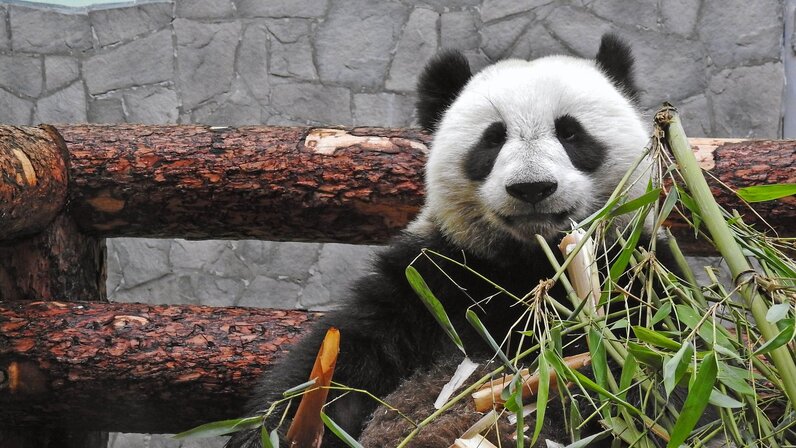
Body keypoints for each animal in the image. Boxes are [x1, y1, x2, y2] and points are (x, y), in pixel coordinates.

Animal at [227, 32, 664, 448]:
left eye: (570, 132)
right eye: (493, 139)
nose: (532, 187)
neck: (527, 264)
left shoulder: (631, 277)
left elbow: (645, 377)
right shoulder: (432, 280)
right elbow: (336, 361)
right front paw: (281, 428)